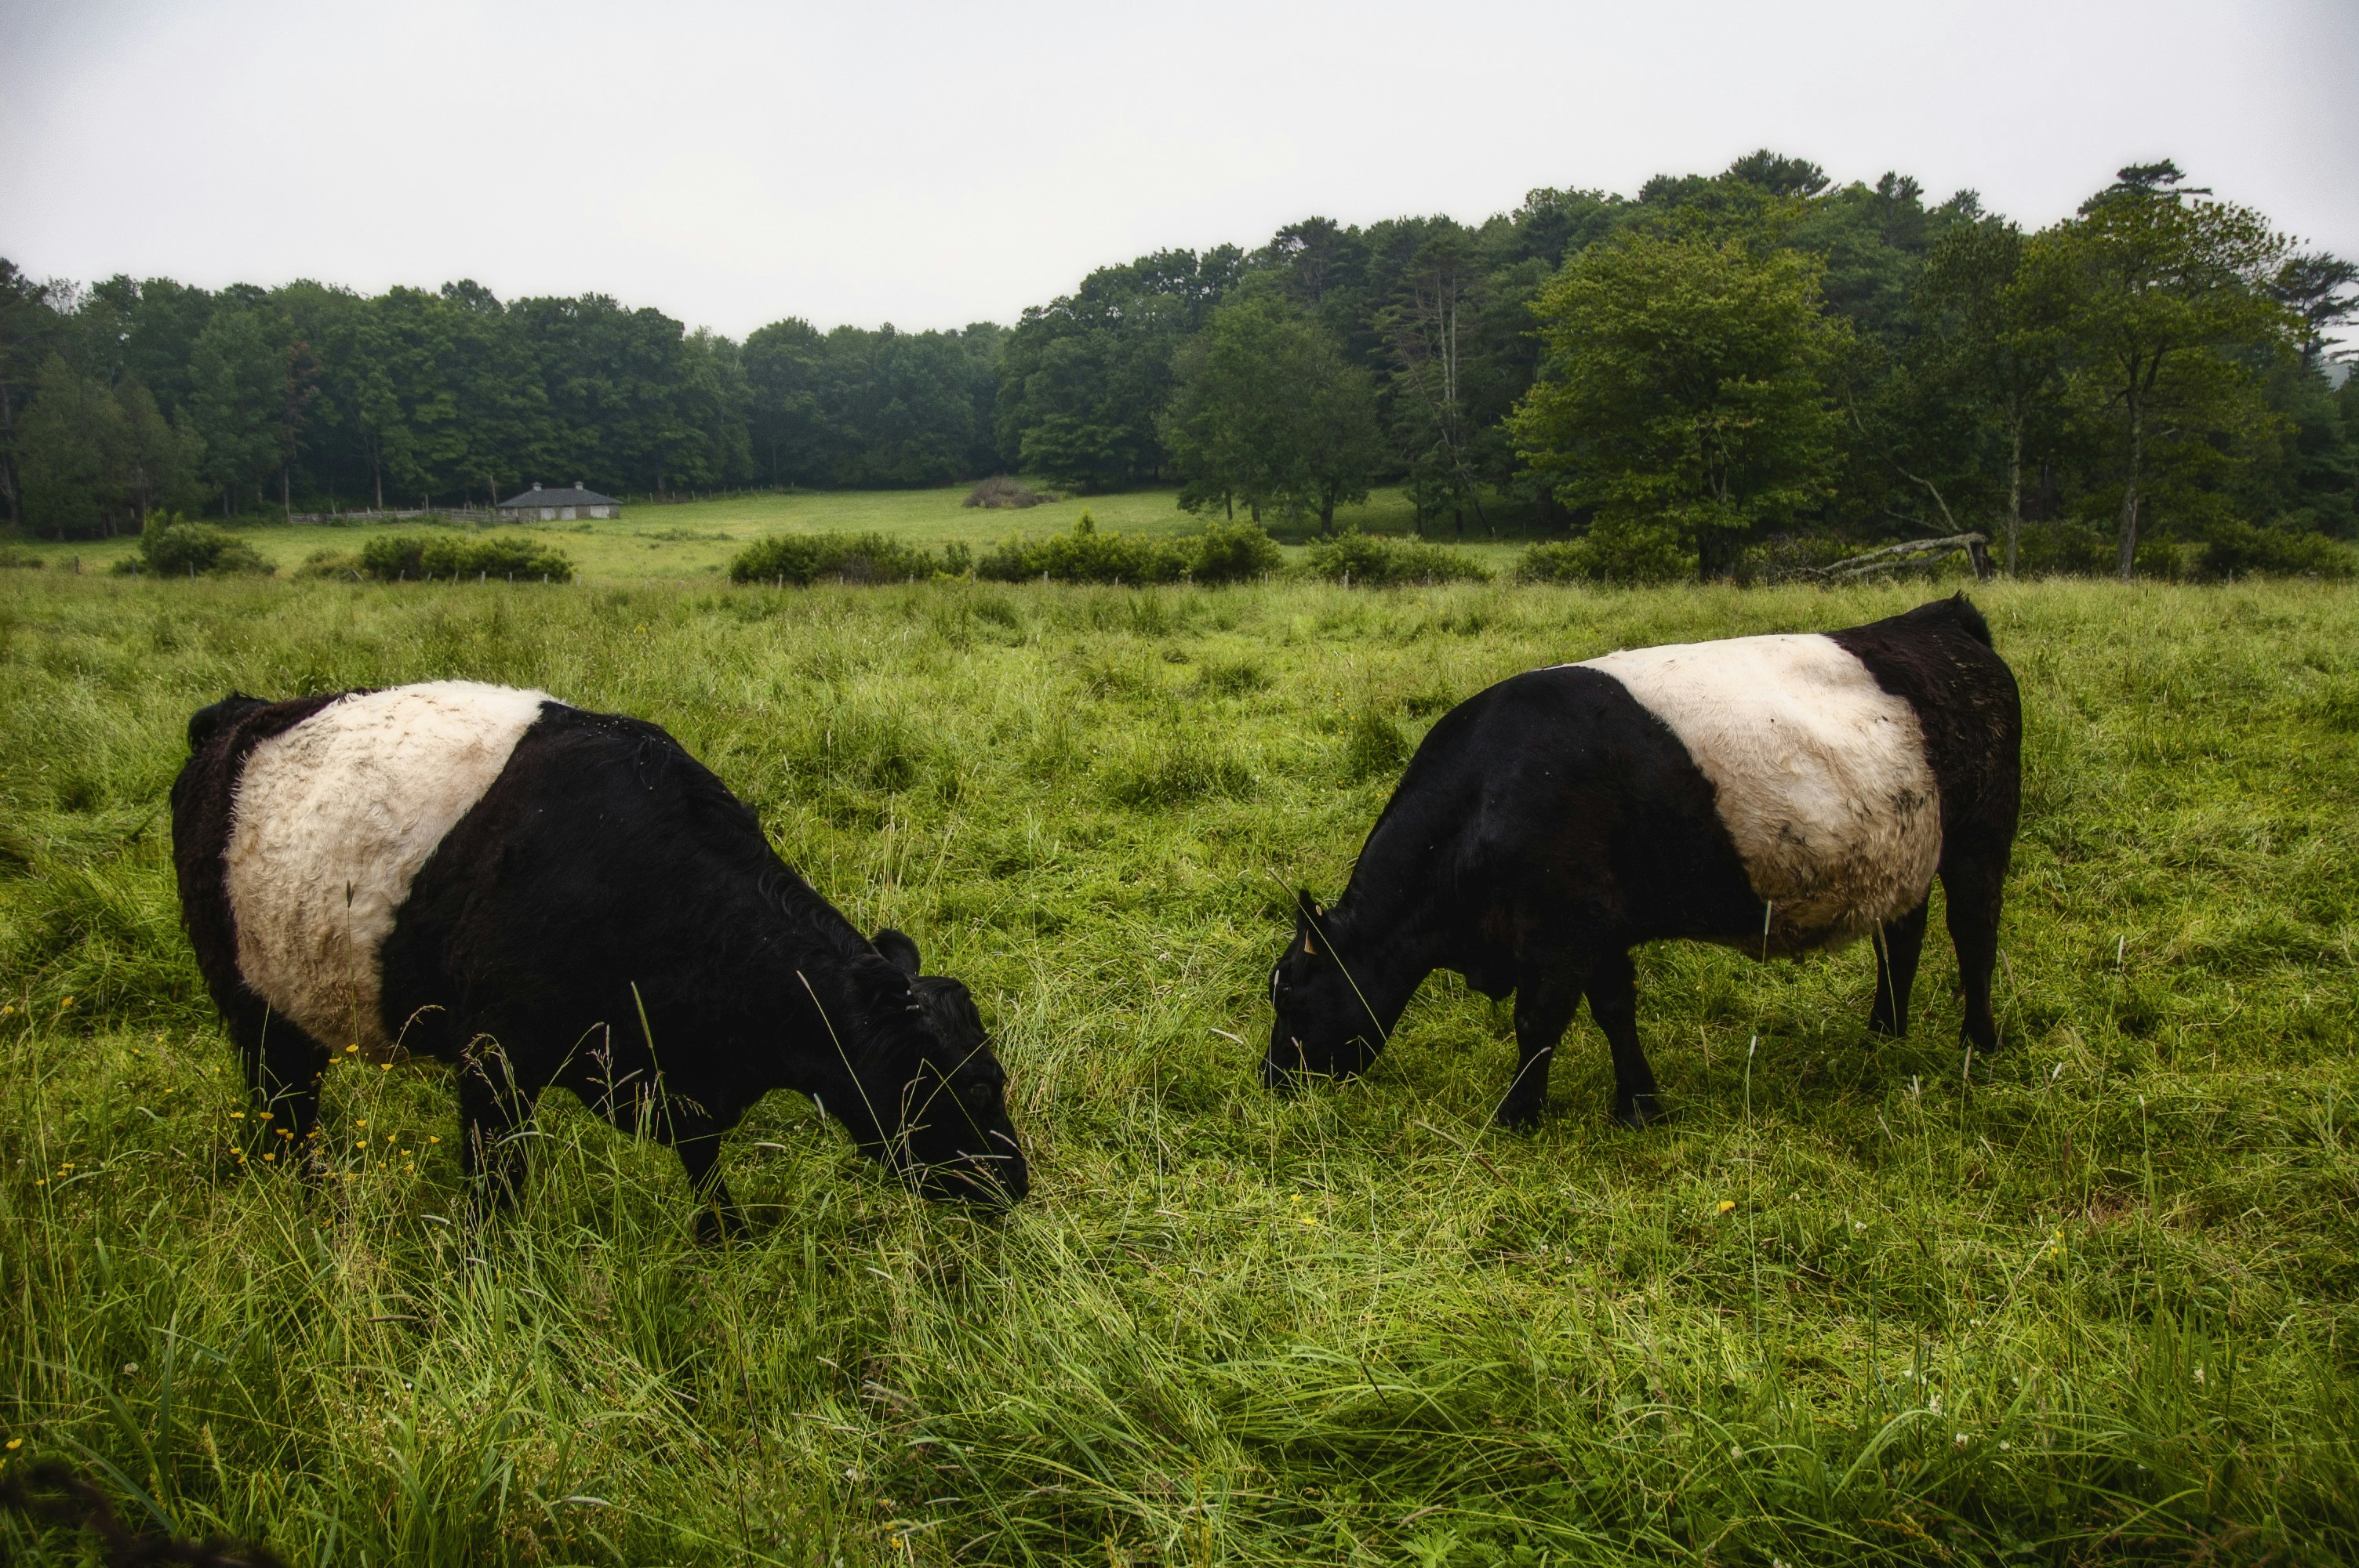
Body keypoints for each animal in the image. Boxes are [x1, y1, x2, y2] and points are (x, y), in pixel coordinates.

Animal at [171, 681, 1027, 1234]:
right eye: (980, 1087)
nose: (1014, 1184)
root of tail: (234, 714)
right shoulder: (493, 1062)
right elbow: (495, 1192)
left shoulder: (678, 1079)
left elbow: (705, 1170)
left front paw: (726, 1242)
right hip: (253, 1009)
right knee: (286, 1118)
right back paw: (314, 1209)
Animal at [1264, 595, 2021, 1129]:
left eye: (1291, 992)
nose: (1274, 1080)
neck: (1489, 796)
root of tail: (1944, 620)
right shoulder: (1600, 928)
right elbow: (1614, 1010)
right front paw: (1639, 1104)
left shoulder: (1562, 930)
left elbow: (1538, 1023)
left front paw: (1516, 1117)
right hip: (1902, 852)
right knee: (1902, 937)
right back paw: (1883, 1037)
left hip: (1981, 839)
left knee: (1974, 933)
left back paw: (1978, 1044)